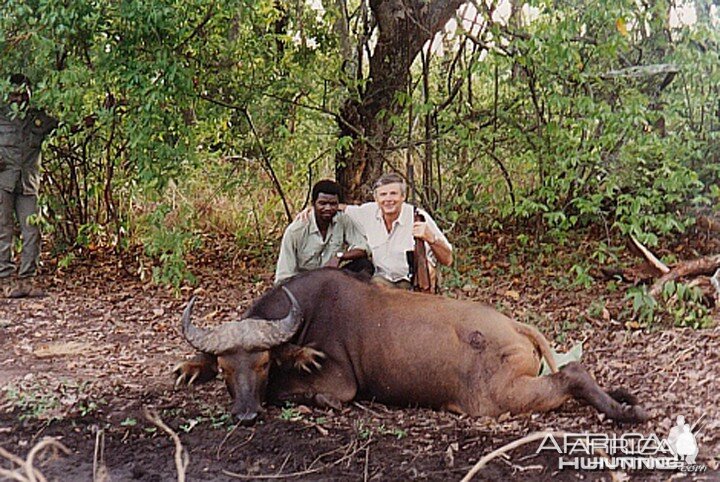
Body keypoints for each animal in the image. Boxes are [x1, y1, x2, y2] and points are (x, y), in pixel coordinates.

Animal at [173, 270, 648, 424]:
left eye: (263, 365)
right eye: (226, 368)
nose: (246, 414)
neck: (304, 314)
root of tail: (515, 327)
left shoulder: (338, 384)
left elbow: (310, 396)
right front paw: (190, 368)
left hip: (502, 397)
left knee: (571, 375)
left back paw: (627, 413)